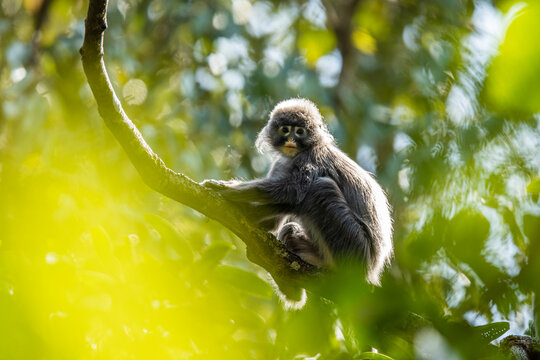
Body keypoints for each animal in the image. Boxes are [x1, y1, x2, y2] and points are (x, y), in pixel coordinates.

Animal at [202, 98, 392, 286]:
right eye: (285, 130)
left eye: (300, 132)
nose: (291, 140)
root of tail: (372, 271)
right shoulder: (280, 164)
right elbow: (278, 217)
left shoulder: (313, 157)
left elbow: (293, 190)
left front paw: (228, 189)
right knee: (290, 223)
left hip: (355, 249)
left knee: (319, 189)